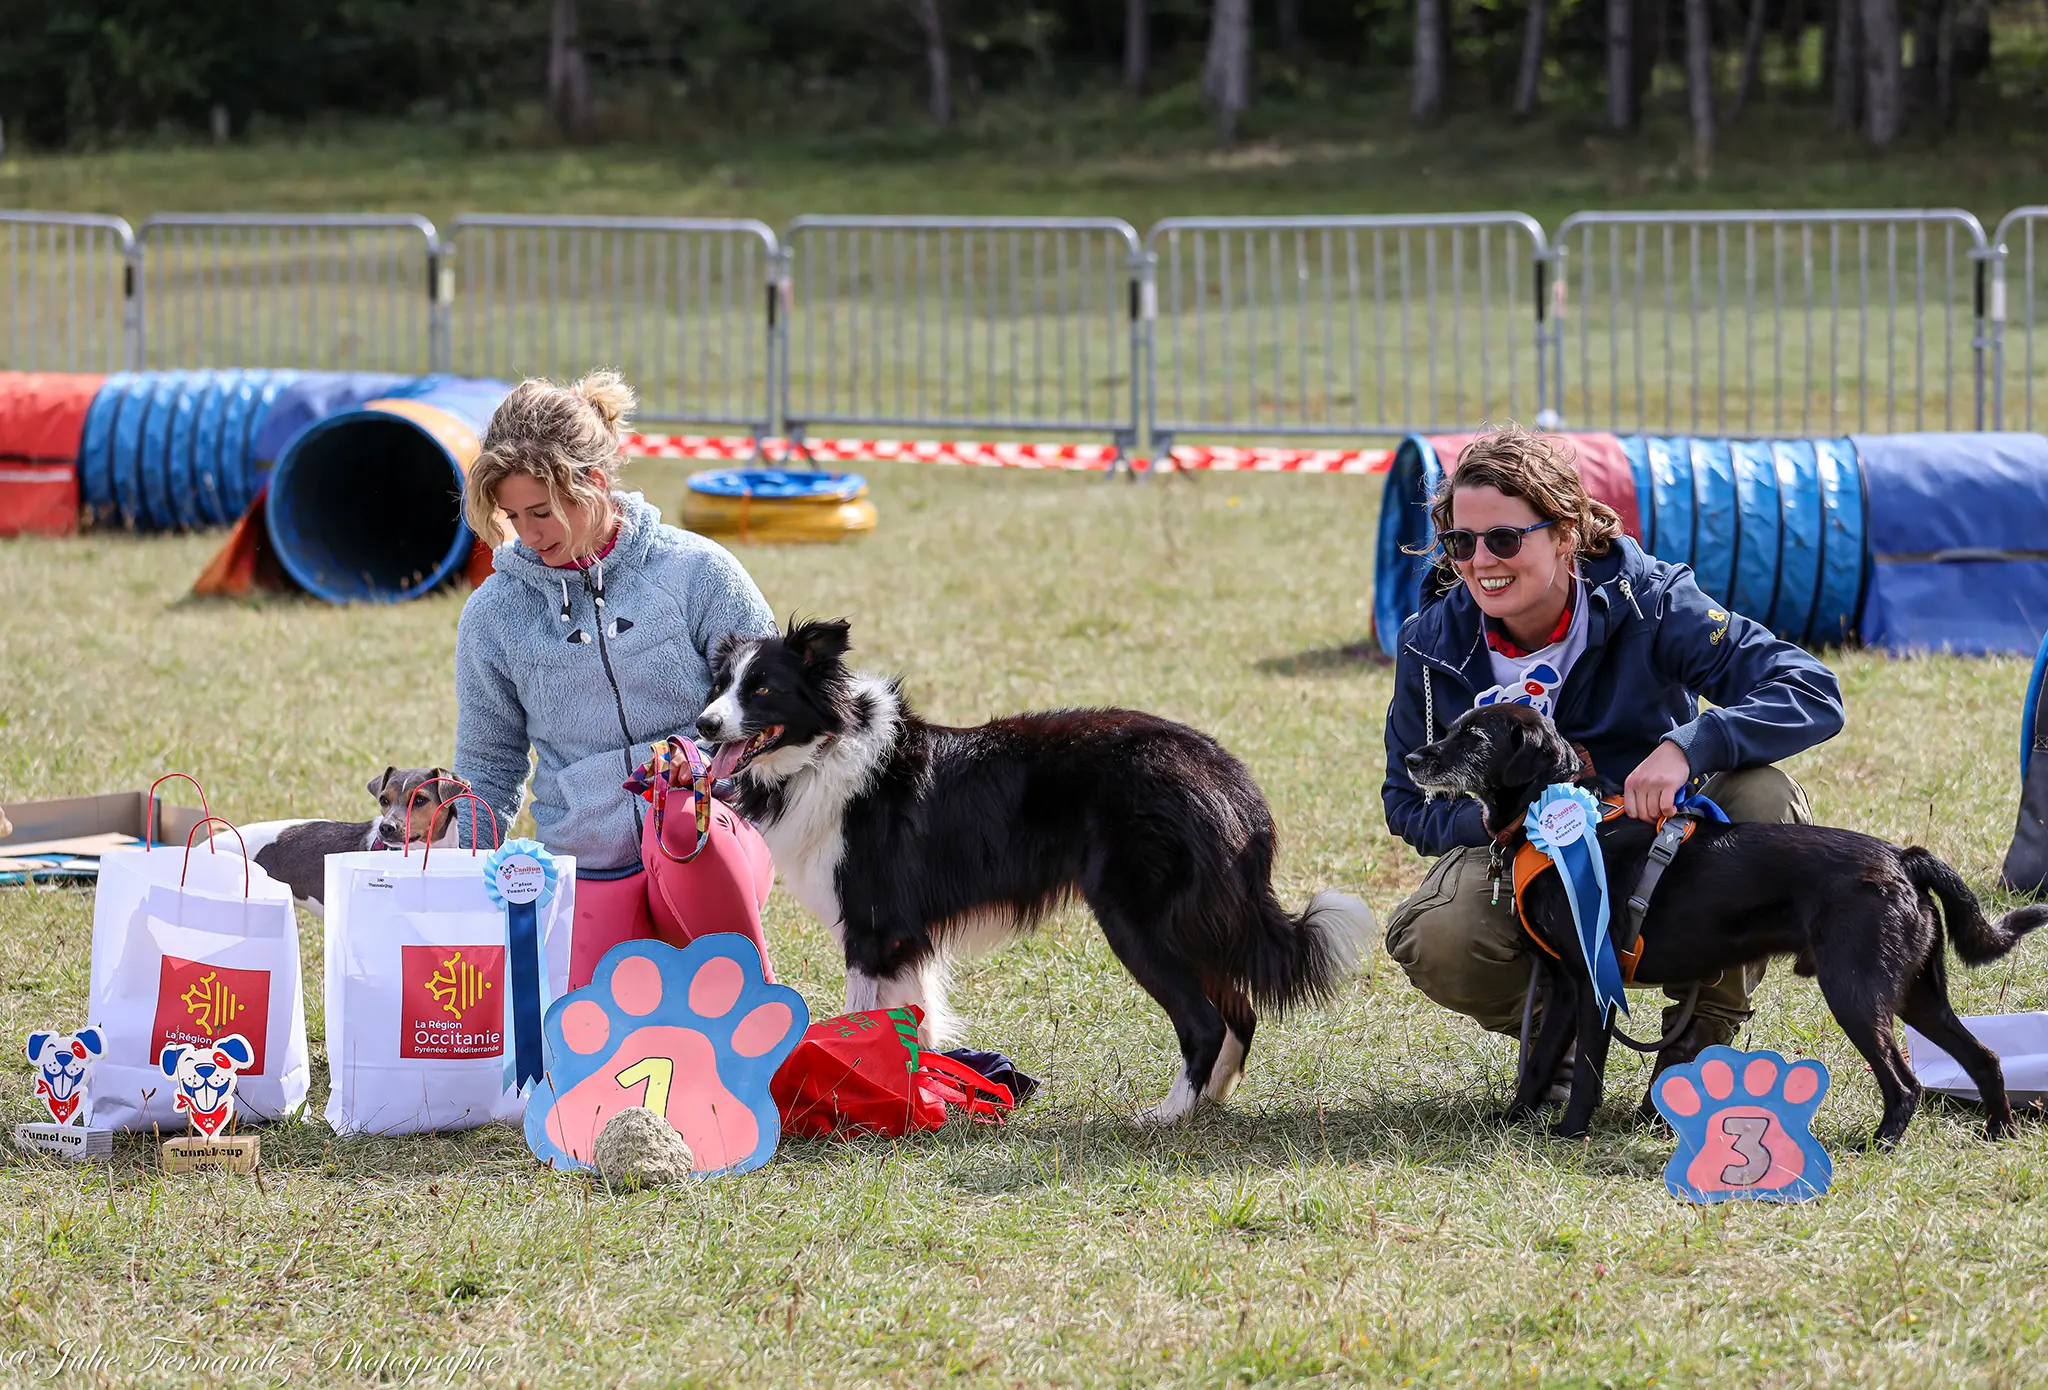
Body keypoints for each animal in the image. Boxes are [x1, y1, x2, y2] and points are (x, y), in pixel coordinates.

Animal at [692, 618, 1376, 1121]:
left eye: (762, 690)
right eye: (720, 684)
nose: (702, 724)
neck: (822, 753)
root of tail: (1228, 778)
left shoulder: (872, 927)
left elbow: (861, 1018)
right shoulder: (905, 936)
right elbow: (916, 1016)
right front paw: (921, 1088)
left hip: (1138, 922)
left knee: (1206, 1021)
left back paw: (1167, 1114)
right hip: (1197, 924)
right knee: (1241, 1010)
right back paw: (1210, 1100)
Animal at [1409, 708, 2048, 1154]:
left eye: (1475, 736)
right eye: (1453, 726)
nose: (1413, 759)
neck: (1550, 822)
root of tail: (1903, 857)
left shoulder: (1595, 985)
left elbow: (1587, 1069)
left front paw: (1570, 1135)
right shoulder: (1567, 984)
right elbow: (1540, 1061)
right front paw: (1515, 1119)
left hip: (1856, 992)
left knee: (1906, 1082)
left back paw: (1882, 1144)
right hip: (1917, 994)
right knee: (1985, 1056)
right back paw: (1998, 1132)